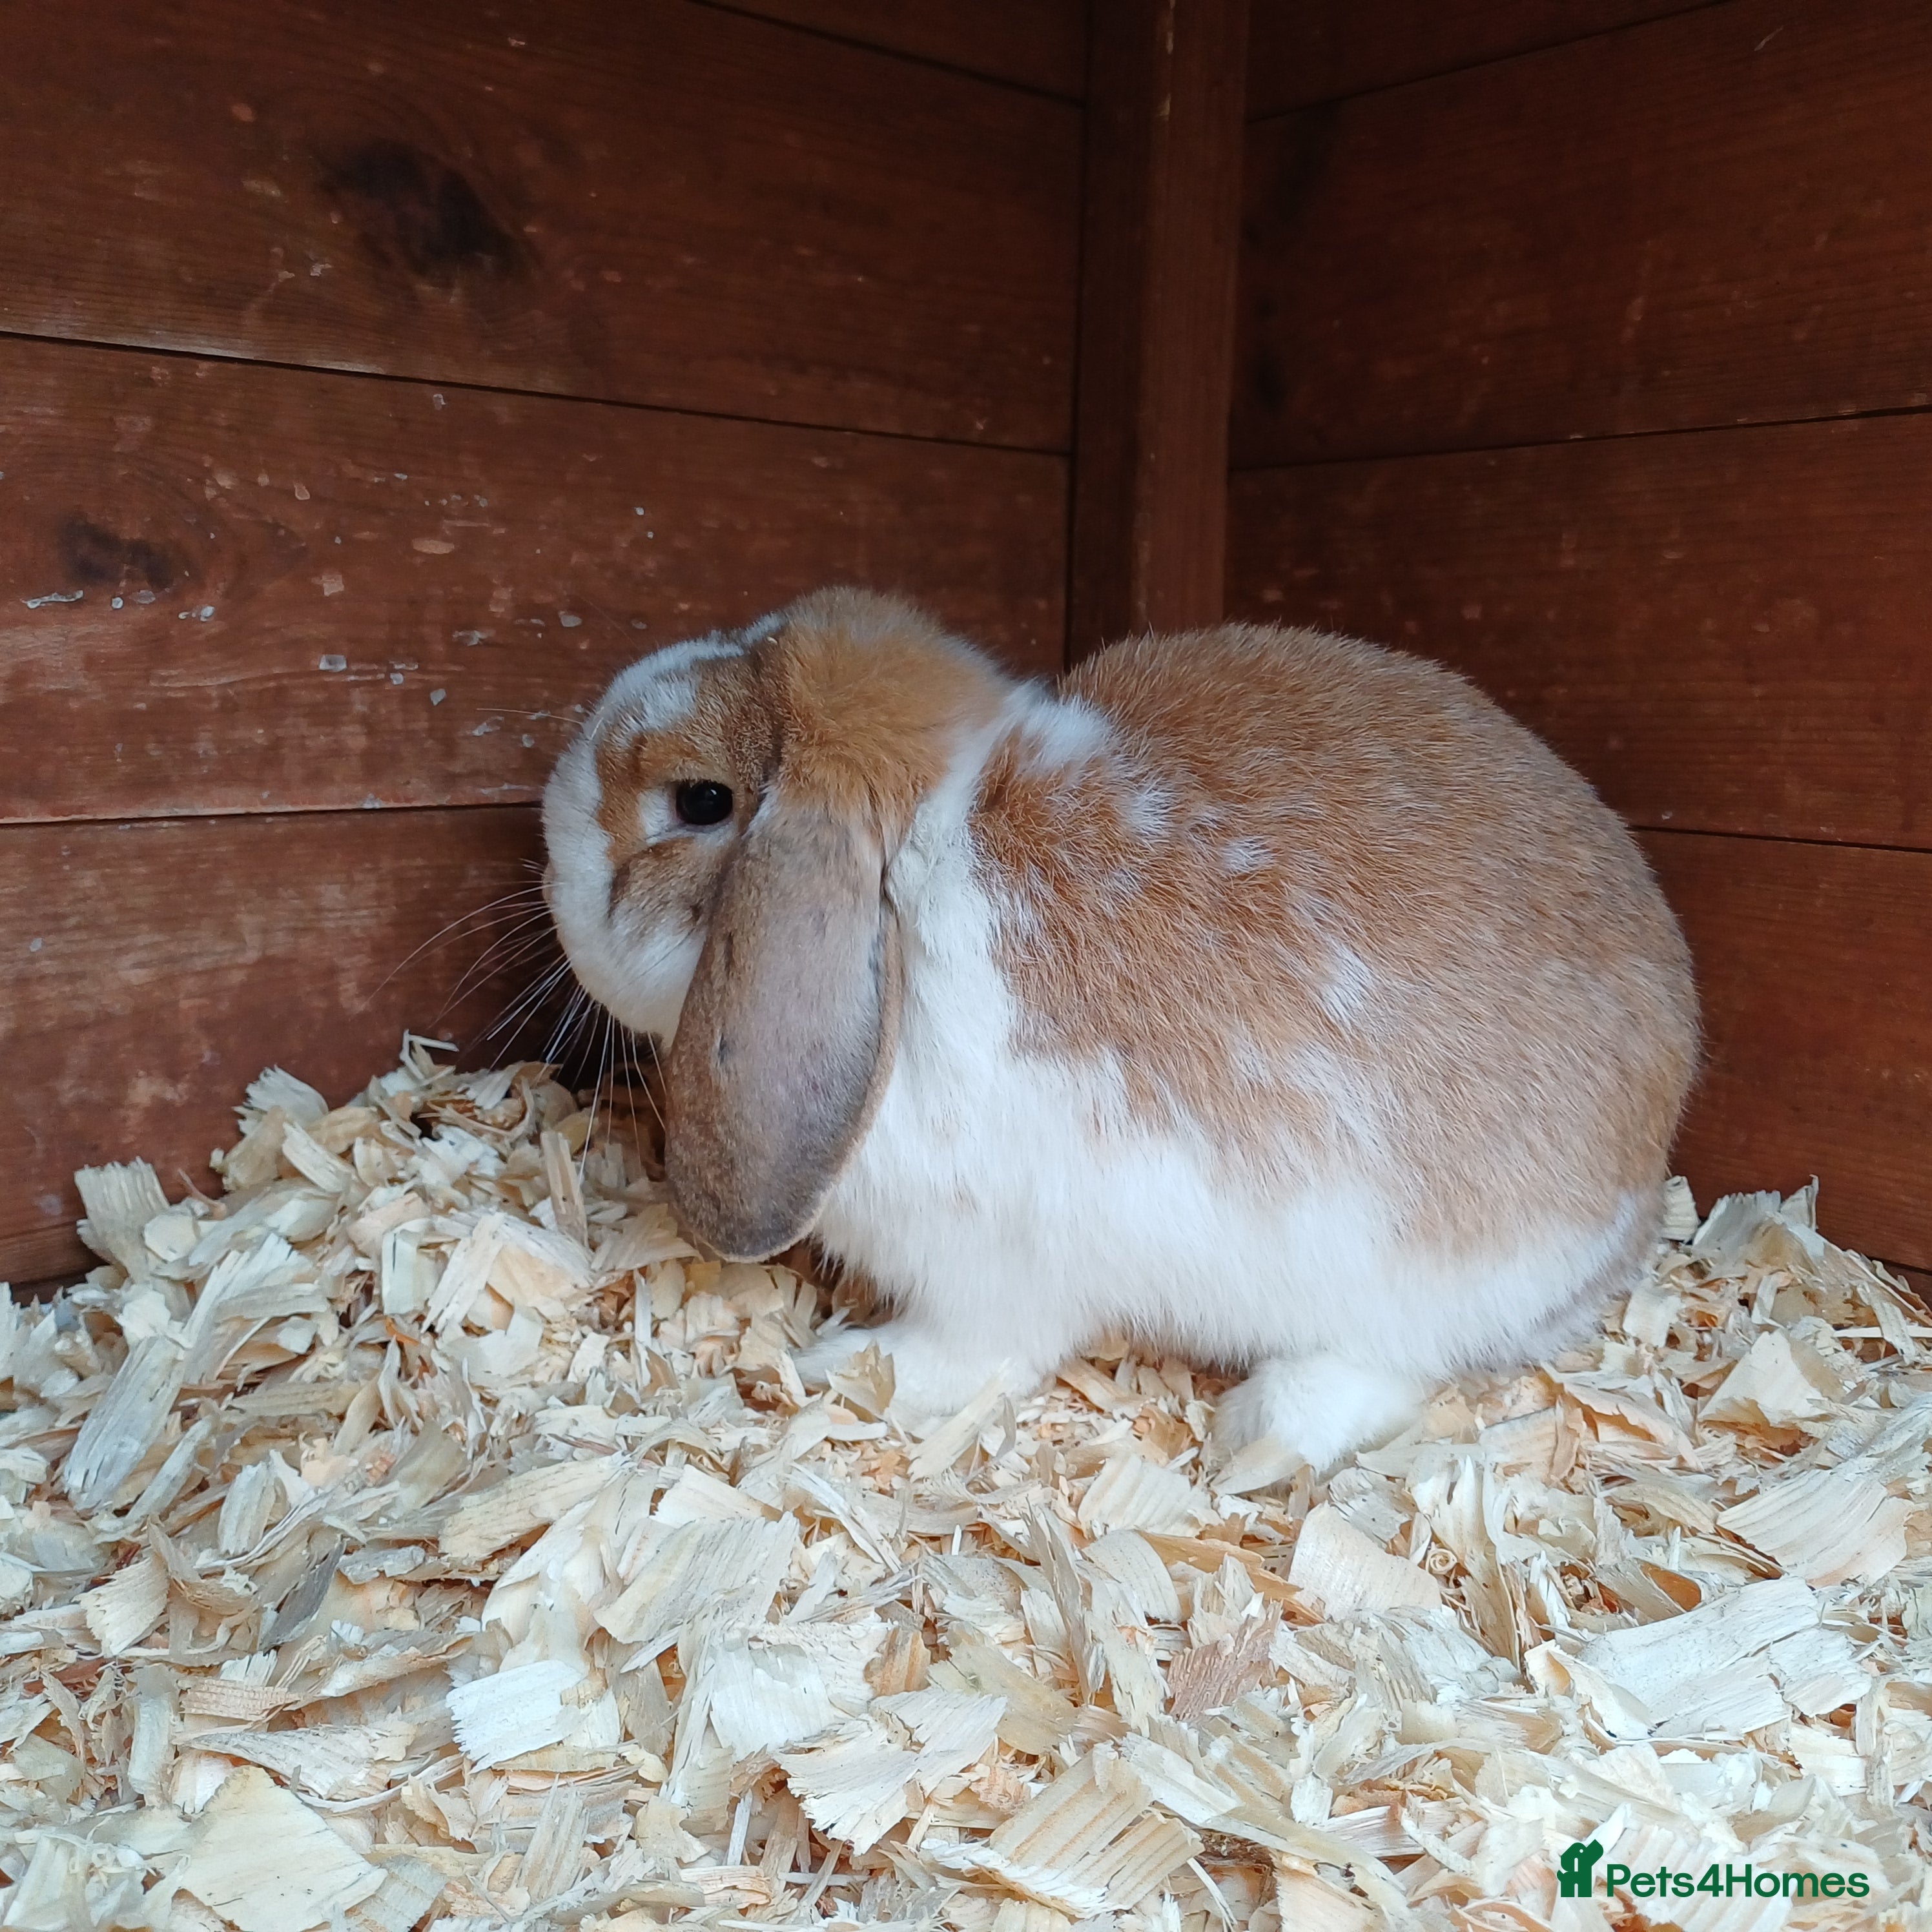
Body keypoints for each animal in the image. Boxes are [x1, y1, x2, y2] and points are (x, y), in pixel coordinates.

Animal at [543, 586, 1697, 1469]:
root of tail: (1641, 1200)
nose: (548, 870)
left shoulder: (990, 1259)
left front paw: (851, 1370)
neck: (916, 877)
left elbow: (977, 1351)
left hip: (1422, 1276)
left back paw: (1262, 1429)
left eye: (700, 800)